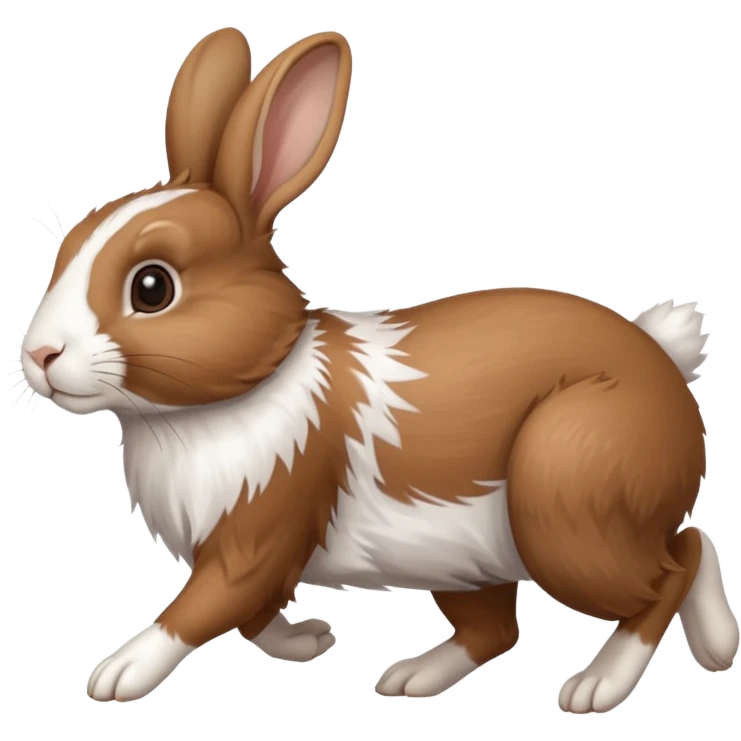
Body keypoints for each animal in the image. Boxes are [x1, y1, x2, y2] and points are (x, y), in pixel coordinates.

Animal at [19, 26, 738, 712]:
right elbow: (253, 616)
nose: (38, 355)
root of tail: (662, 361)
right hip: (469, 559)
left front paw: (117, 674)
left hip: (568, 500)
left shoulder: (256, 535)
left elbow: (202, 608)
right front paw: (310, 639)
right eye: (68, 245)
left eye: (152, 287)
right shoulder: (261, 559)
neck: (242, 390)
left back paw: (615, 681)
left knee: (676, 564)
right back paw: (412, 678)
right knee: (504, 626)